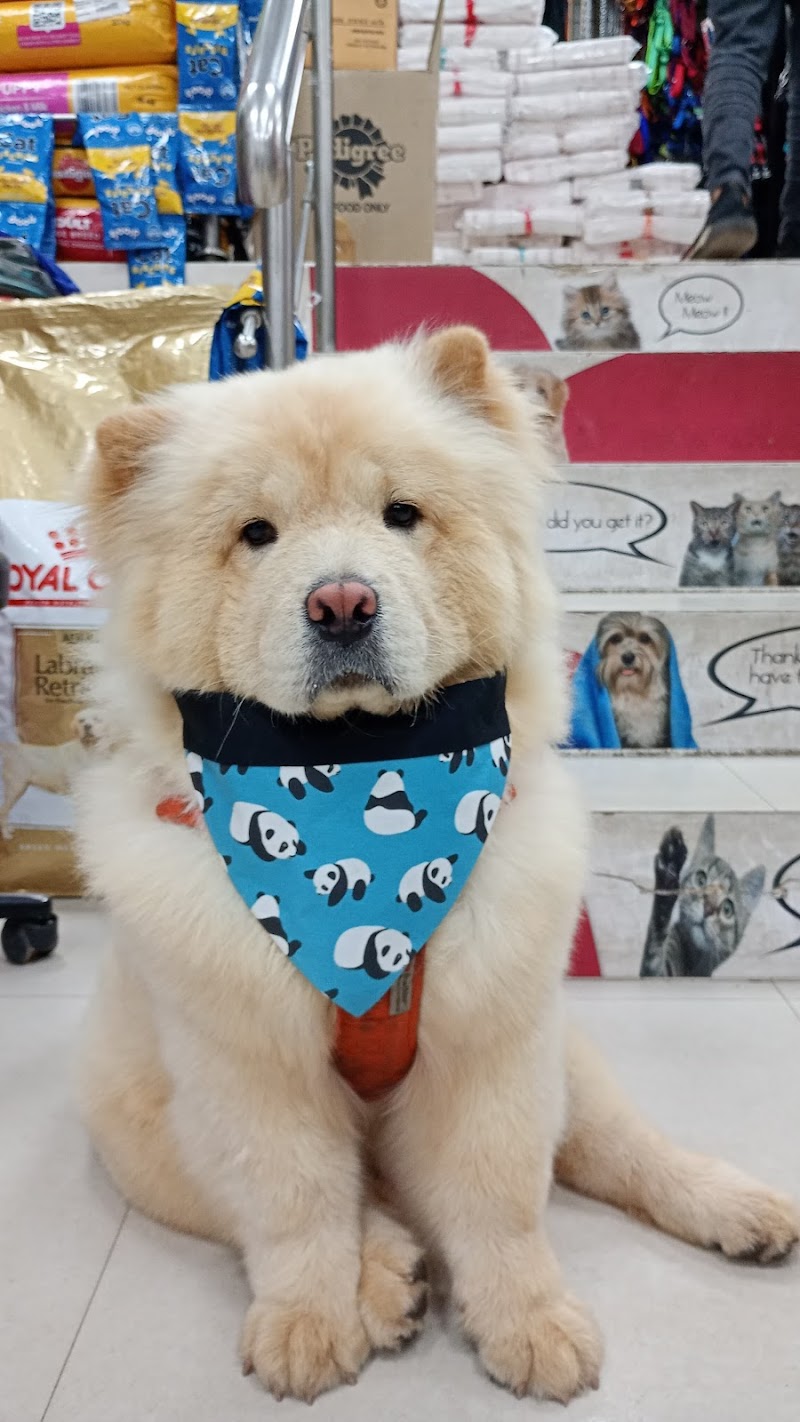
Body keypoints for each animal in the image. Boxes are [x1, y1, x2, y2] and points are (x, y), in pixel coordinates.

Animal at [0, 707, 105, 839]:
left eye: (97, 719)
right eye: (81, 720)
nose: (87, 726)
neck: (88, 751)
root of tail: (11, 749)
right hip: (15, 788)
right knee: (3, 811)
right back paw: (6, 833)